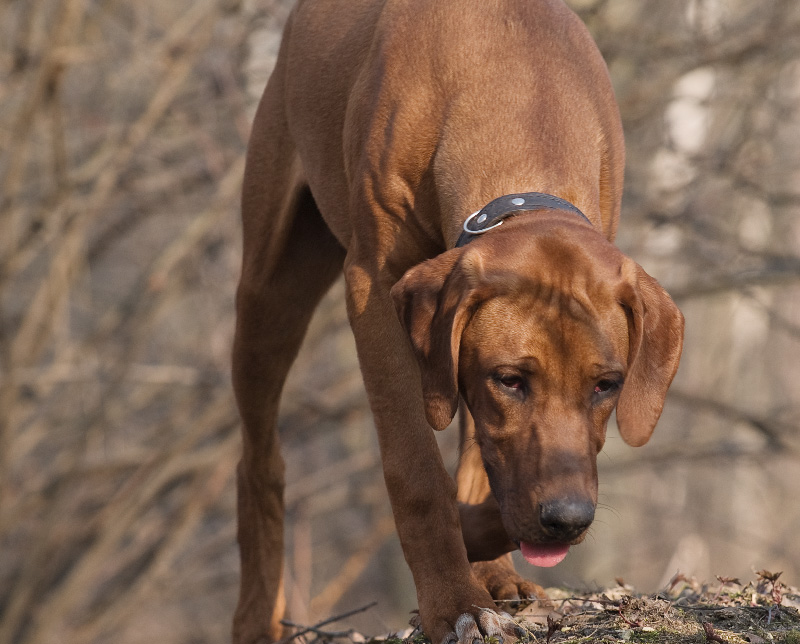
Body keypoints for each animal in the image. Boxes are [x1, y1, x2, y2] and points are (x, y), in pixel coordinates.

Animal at [230, 0, 680, 640]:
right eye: (511, 380)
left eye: (607, 385)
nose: (567, 520)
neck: (521, 97)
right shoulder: (374, 289)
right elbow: (417, 470)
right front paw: (453, 599)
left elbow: (478, 465)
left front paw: (489, 565)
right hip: (269, 289)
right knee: (259, 458)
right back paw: (255, 615)